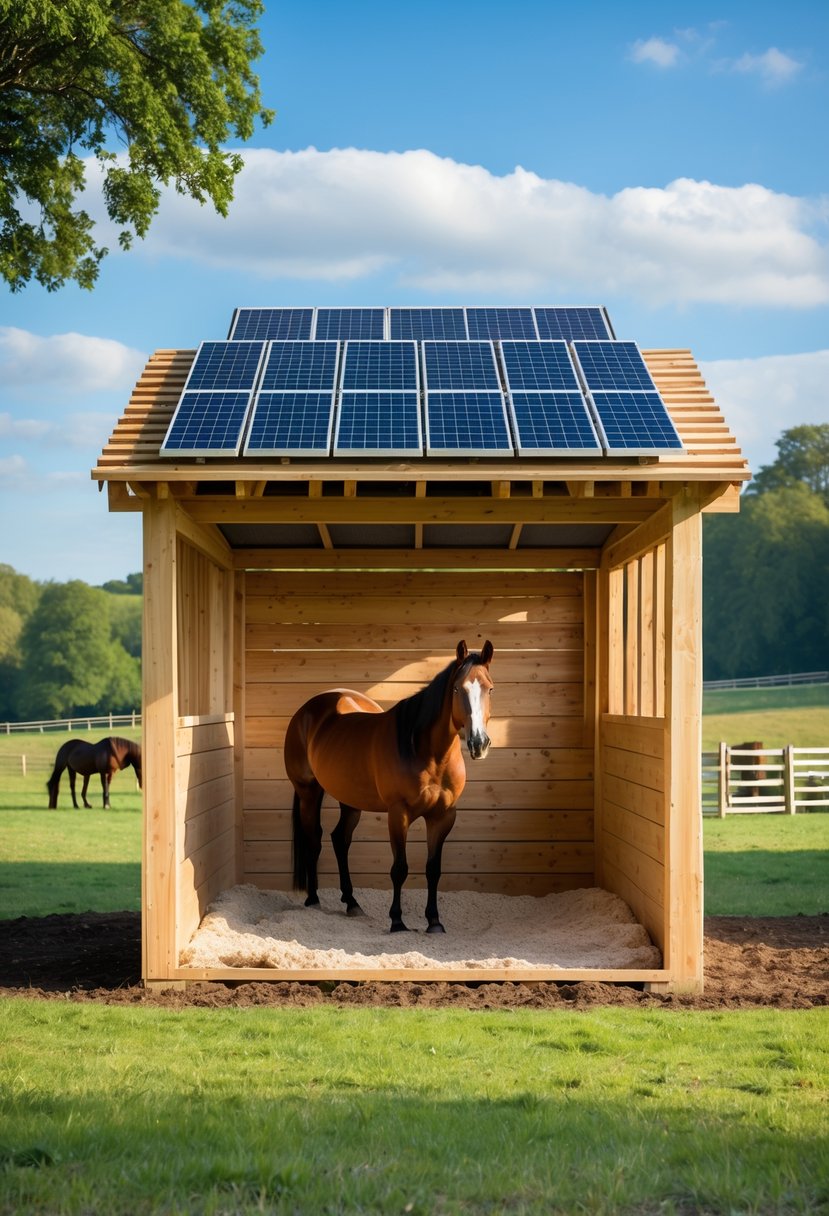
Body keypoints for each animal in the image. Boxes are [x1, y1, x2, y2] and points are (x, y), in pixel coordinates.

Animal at [286, 639, 494, 934]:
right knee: (314, 840)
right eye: (457, 688)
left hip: (350, 799)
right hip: (309, 792)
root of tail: (308, 710)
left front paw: (434, 922)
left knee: (340, 839)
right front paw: (397, 921)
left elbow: (433, 869)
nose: (479, 743)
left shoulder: (443, 816)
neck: (425, 751)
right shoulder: (399, 814)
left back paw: (351, 902)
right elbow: (400, 868)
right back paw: (313, 900)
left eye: (490, 688)